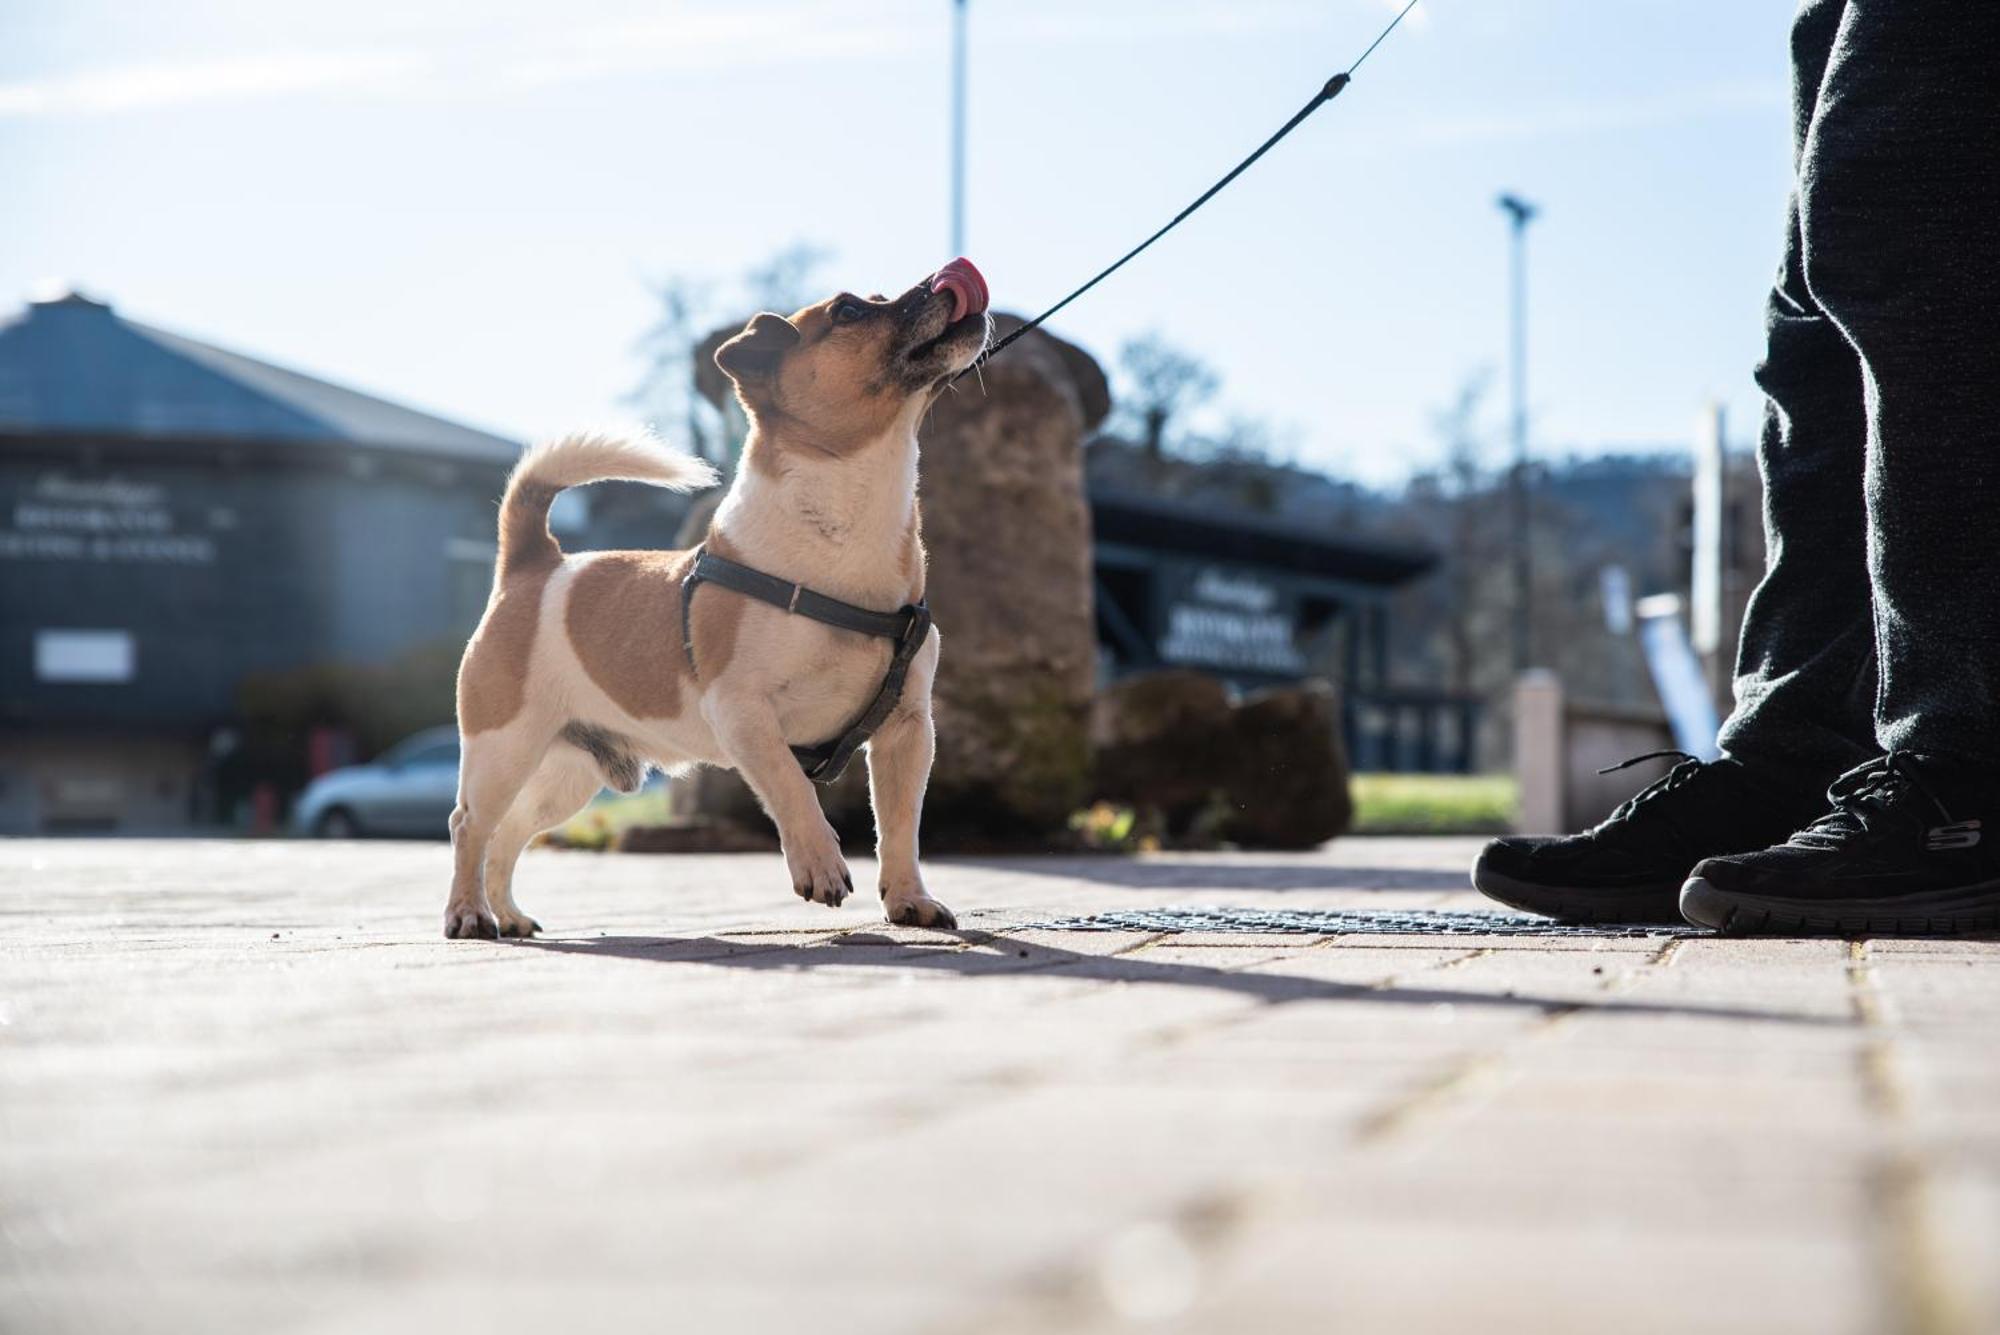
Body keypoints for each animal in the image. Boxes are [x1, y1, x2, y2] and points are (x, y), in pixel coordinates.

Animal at [446, 257, 992, 939]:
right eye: (847, 311)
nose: (942, 280)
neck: (844, 519)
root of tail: (534, 564)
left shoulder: (907, 732)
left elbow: (899, 826)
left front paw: (908, 898)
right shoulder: (743, 710)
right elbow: (790, 784)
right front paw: (819, 862)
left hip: (566, 775)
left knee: (508, 834)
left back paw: (508, 914)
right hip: (503, 750)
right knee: (470, 826)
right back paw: (468, 912)